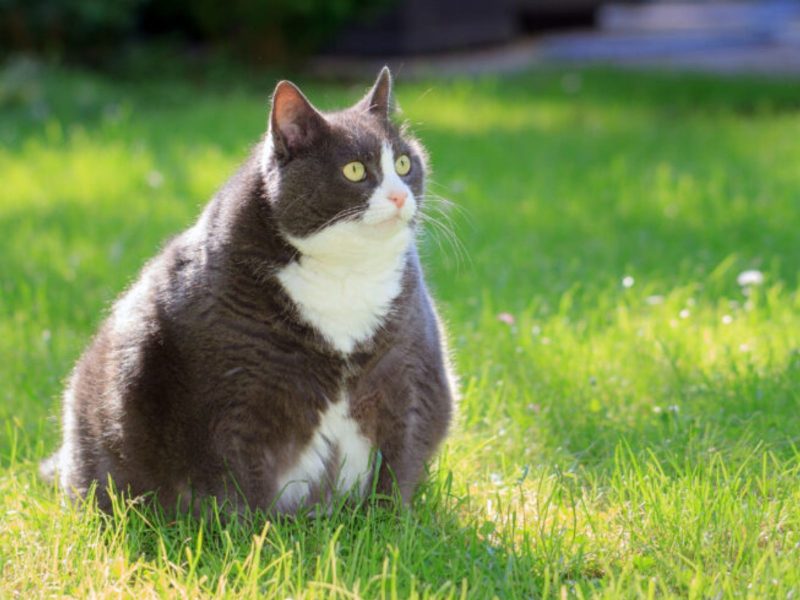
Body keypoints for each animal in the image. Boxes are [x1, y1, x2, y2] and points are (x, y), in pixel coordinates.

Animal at [40, 68, 456, 512]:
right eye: (355, 171)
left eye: (404, 162)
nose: (399, 195)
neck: (345, 274)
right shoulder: (231, 393)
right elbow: (237, 478)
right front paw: (256, 531)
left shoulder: (409, 369)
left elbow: (402, 458)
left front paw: (393, 520)